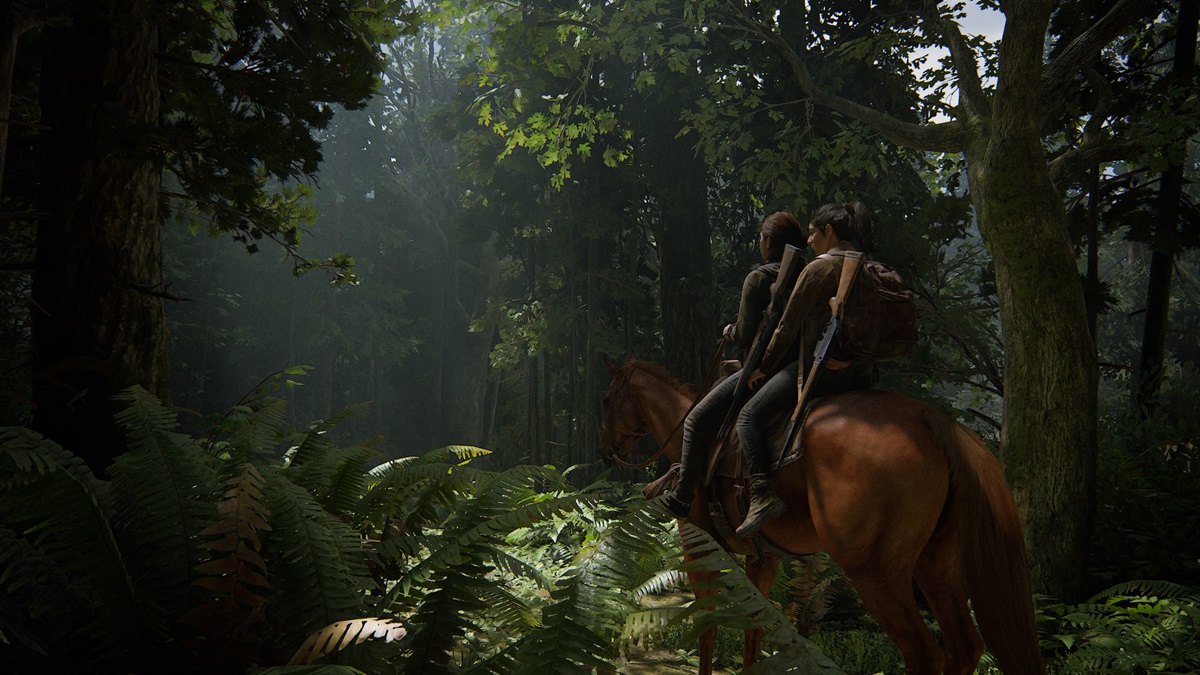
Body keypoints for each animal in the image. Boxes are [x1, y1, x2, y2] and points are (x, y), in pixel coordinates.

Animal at [600, 357, 1041, 672]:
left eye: (609, 399)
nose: (607, 450)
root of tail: (934, 423)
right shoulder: (763, 559)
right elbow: (755, 628)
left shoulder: (700, 548)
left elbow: (709, 624)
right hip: (936, 565)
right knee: (964, 648)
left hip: (876, 575)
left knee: (924, 654)